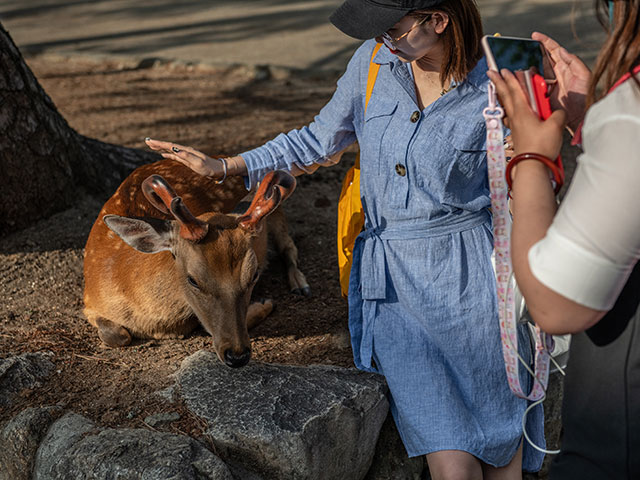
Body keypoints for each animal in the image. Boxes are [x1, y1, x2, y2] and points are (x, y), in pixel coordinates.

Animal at [84, 160, 308, 368]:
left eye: (254, 275)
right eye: (193, 280)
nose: (237, 356)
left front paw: (263, 304)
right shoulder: (89, 303)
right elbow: (117, 336)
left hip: (277, 215)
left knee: (289, 247)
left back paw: (300, 285)